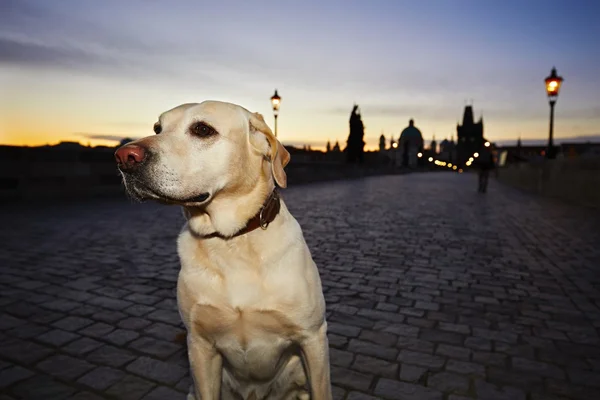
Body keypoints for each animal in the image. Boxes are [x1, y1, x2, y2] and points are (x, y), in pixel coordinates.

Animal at [113, 101, 332, 400]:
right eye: (157, 128)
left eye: (202, 129)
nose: (124, 156)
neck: (231, 240)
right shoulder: (200, 346)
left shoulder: (313, 338)